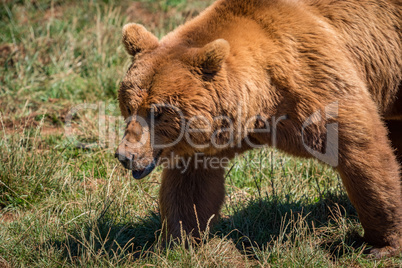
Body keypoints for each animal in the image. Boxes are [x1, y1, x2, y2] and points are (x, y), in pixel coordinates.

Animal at [114, 0, 402, 258]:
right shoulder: (208, 137)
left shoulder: (315, 78)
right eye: (129, 106)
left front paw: (381, 244)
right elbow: (191, 187)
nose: (125, 156)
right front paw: (175, 242)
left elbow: (360, 148)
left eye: (158, 112)